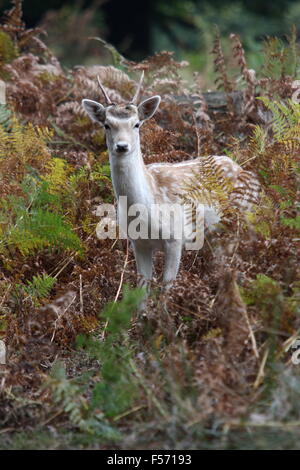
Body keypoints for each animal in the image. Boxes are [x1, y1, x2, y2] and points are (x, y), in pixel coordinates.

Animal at [82, 74, 260, 298]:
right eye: (106, 124)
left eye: (137, 124)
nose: (122, 146)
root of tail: (241, 168)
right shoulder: (138, 243)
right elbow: (142, 289)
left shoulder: (175, 238)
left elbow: (166, 289)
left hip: (242, 218)